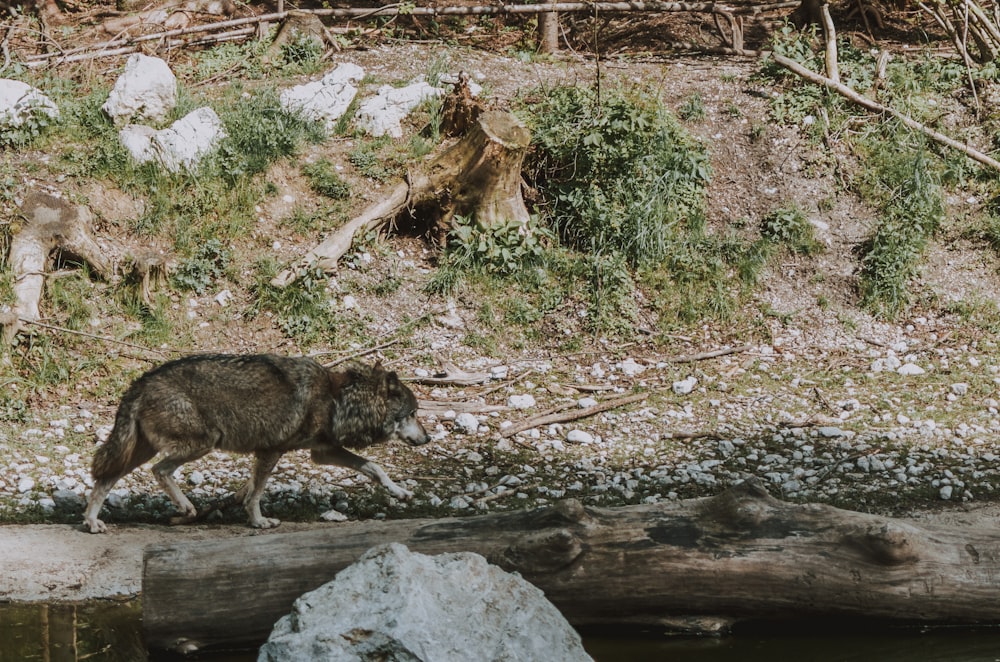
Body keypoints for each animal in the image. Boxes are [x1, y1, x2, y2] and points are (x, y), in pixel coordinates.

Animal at [83, 352, 430, 536]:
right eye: (413, 414)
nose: (427, 438)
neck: (338, 400)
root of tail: (140, 382)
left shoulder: (322, 451)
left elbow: (375, 467)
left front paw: (400, 492)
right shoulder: (270, 450)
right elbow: (256, 493)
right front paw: (259, 521)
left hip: (140, 450)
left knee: (105, 479)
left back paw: (92, 522)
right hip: (202, 443)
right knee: (160, 471)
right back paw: (186, 508)